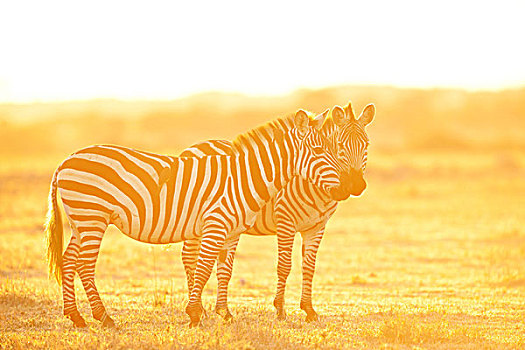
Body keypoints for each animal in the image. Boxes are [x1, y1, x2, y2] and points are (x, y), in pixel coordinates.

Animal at [45, 108, 348, 326]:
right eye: (320, 151)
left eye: (336, 150)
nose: (346, 189)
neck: (243, 179)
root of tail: (65, 161)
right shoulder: (215, 225)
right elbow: (203, 269)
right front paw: (194, 314)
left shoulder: (231, 231)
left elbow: (222, 269)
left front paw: (220, 314)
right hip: (92, 218)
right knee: (84, 265)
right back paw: (104, 318)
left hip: (80, 222)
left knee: (68, 260)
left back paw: (76, 317)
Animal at [180, 100, 372, 320]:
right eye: (339, 146)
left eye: (366, 145)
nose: (355, 186)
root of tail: (192, 148)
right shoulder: (285, 222)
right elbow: (284, 266)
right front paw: (280, 309)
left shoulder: (316, 227)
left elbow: (309, 267)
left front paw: (309, 310)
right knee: (189, 257)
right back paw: (200, 309)